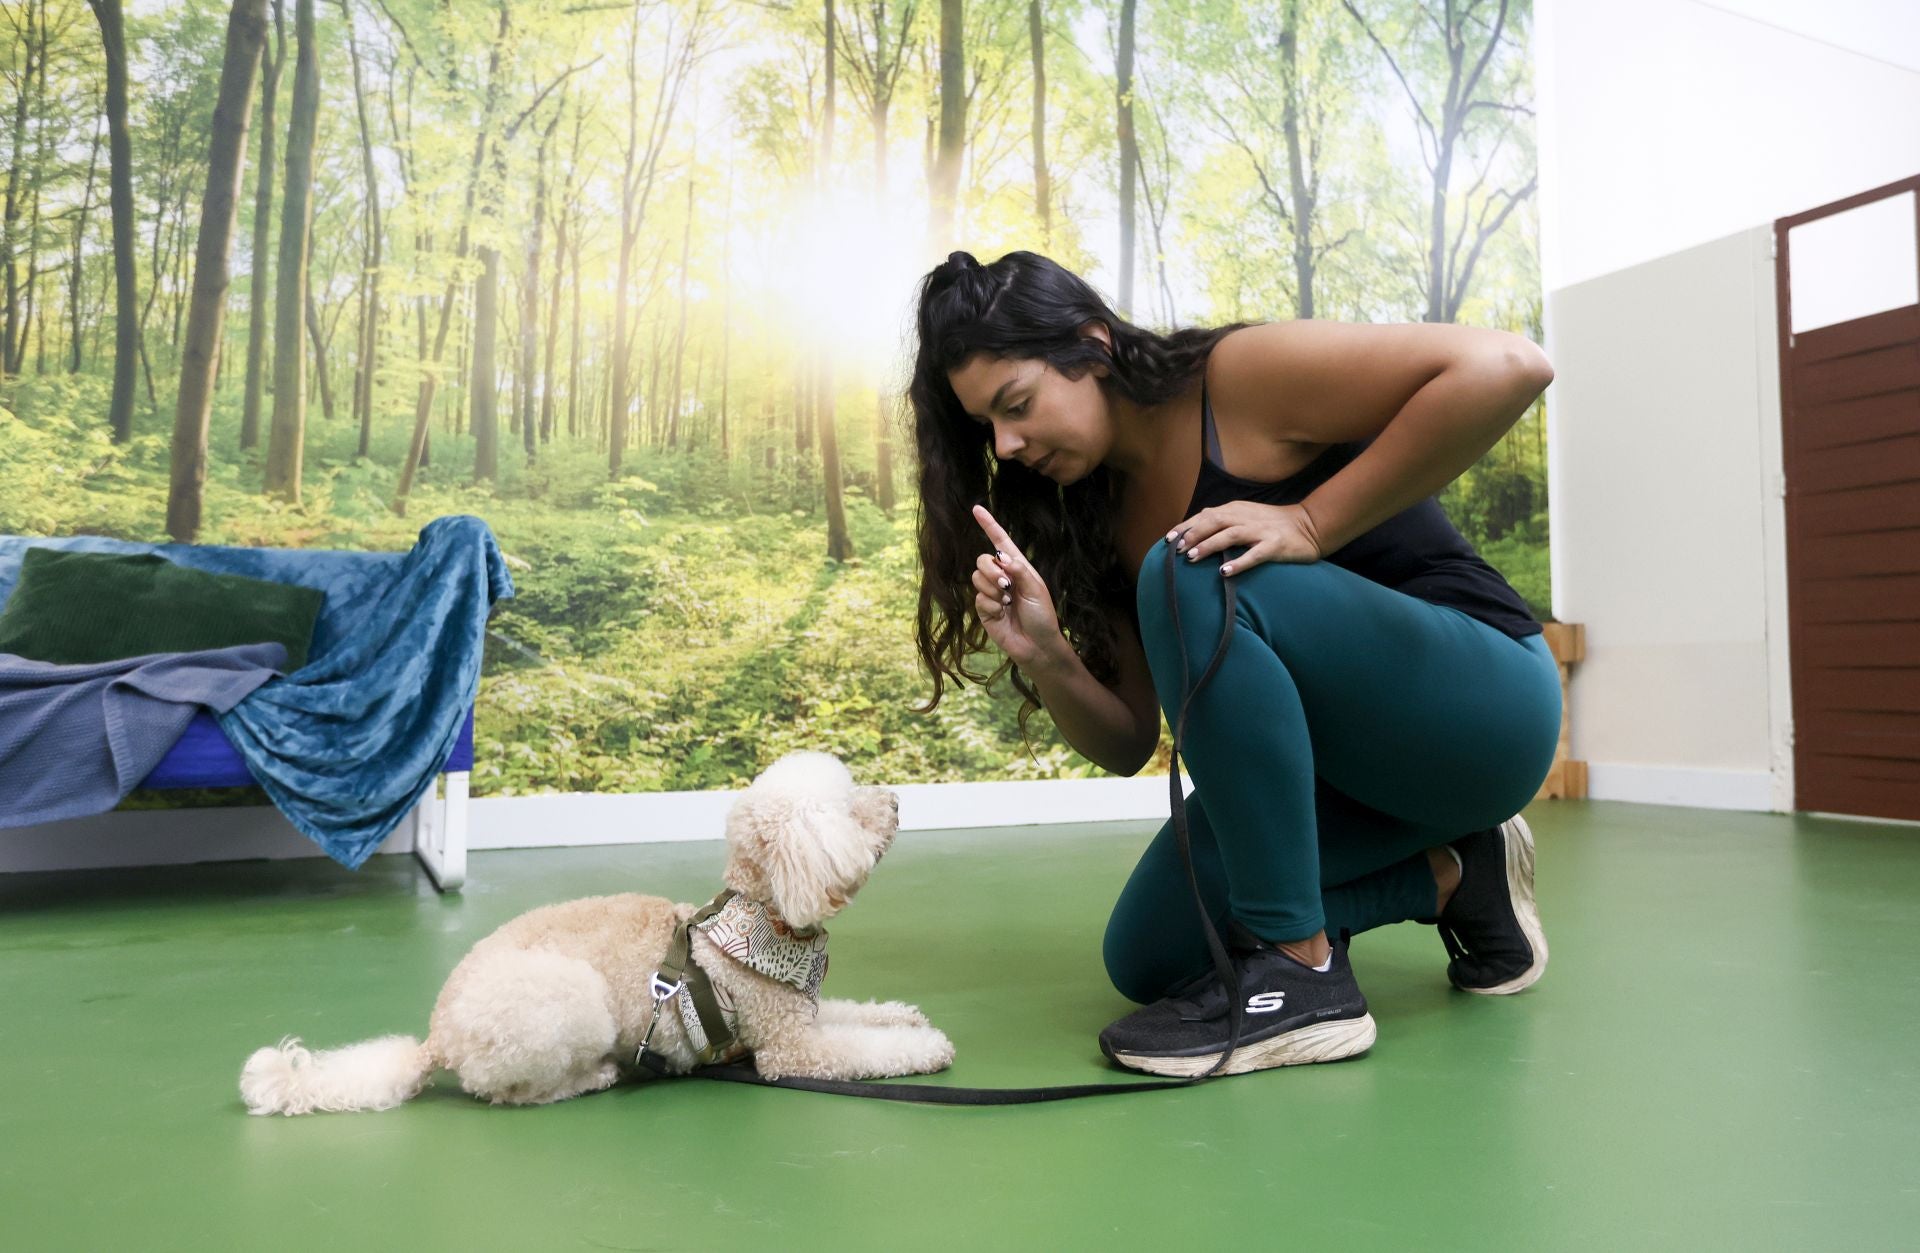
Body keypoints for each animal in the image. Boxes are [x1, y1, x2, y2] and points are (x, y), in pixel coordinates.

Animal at [240, 752, 952, 1112]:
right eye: (849, 812)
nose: (896, 800)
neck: (765, 915)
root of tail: (437, 1040)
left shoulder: (804, 1012)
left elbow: (860, 1014)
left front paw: (903, 1015)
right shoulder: (790, 1048)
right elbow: (862, 1050)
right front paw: (927, 1046)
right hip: (569, 1001)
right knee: (512, 1095)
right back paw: (596, 1077)